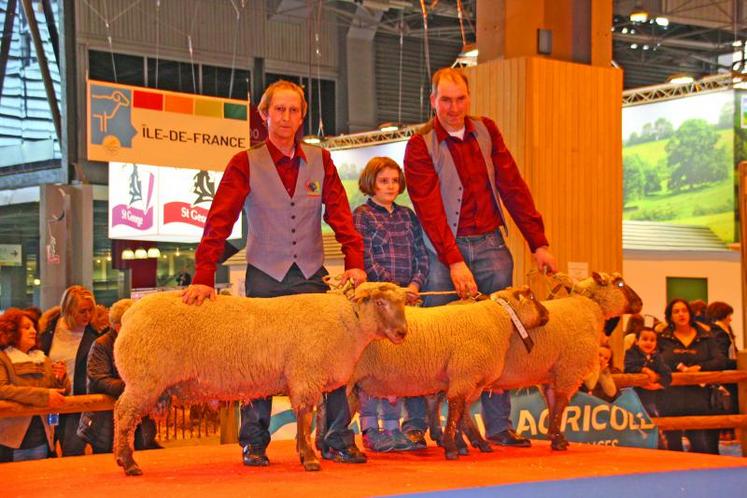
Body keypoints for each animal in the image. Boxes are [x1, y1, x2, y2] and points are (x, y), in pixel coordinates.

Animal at [111, 282, 406, 476]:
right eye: (380, 302)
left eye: (403, 302)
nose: (403, 333)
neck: (349, 322)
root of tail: (129, 310)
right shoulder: (305, 375)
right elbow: (304, 419)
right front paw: (310, 460)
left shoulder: (310, 378)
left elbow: (315, 417)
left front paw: (312, 452)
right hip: (143, 379)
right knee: (123, 415)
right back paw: (129, 463)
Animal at [350, 286, 548, 462]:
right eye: (532, 297)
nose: (547, 314)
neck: (498, 318)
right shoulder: (464, 375)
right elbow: (455, 413)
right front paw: (453, 448)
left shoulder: (463, 379)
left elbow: (460, 412)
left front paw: (465, 443)